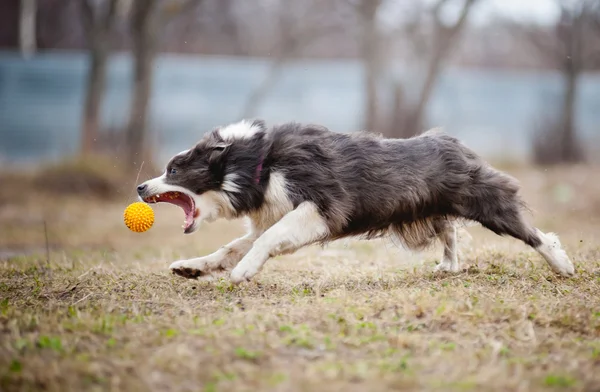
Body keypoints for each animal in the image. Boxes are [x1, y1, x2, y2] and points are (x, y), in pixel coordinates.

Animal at [137, 118, 576, 282]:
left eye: (173, 169)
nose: (141, 188)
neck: (257, 164)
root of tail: (455, 143)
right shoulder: (275, 213)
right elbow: (232, 245)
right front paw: (191, 267)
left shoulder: (320, 208)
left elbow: (266, 239)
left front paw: (244, 271)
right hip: (434, 207)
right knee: (450, 231)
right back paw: (448, 266)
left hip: (483, 199)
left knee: (534, 233)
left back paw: (563, 264)